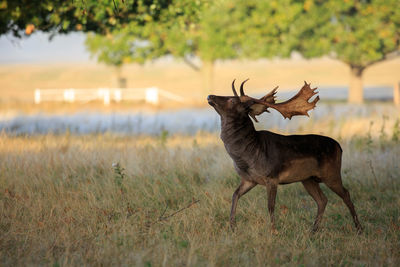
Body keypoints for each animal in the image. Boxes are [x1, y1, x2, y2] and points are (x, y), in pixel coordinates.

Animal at [208, 78, 364, 233]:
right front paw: (232, 227)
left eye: (232, 100)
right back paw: (313, 231)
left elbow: (270, 205)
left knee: (346, 194)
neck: (248, 155)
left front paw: (273, 231)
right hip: (308, 179)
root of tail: (339, 147)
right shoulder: (249, 179)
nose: (210, 96)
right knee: (322, 199)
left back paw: (358, 228)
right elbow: (235, 195)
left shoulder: (272, 177)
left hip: (331, 173)